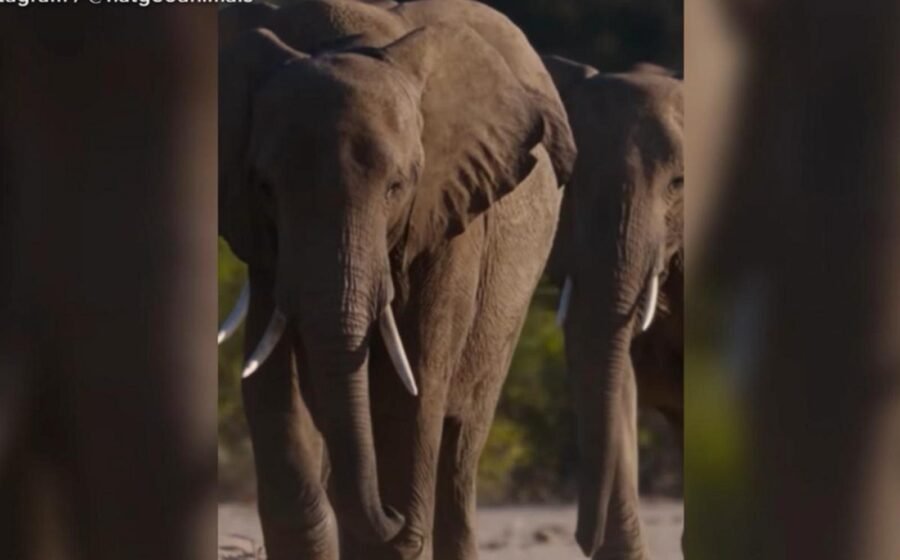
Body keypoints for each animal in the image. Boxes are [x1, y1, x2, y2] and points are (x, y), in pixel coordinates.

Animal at [217, 2, 576, 559]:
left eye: (397, 187)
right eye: (265, 187)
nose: (393, 513)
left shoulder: (449, 211)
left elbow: (410, 389)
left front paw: (398, 518)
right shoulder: (266, 247)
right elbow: (272, 378)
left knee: (458, 450)